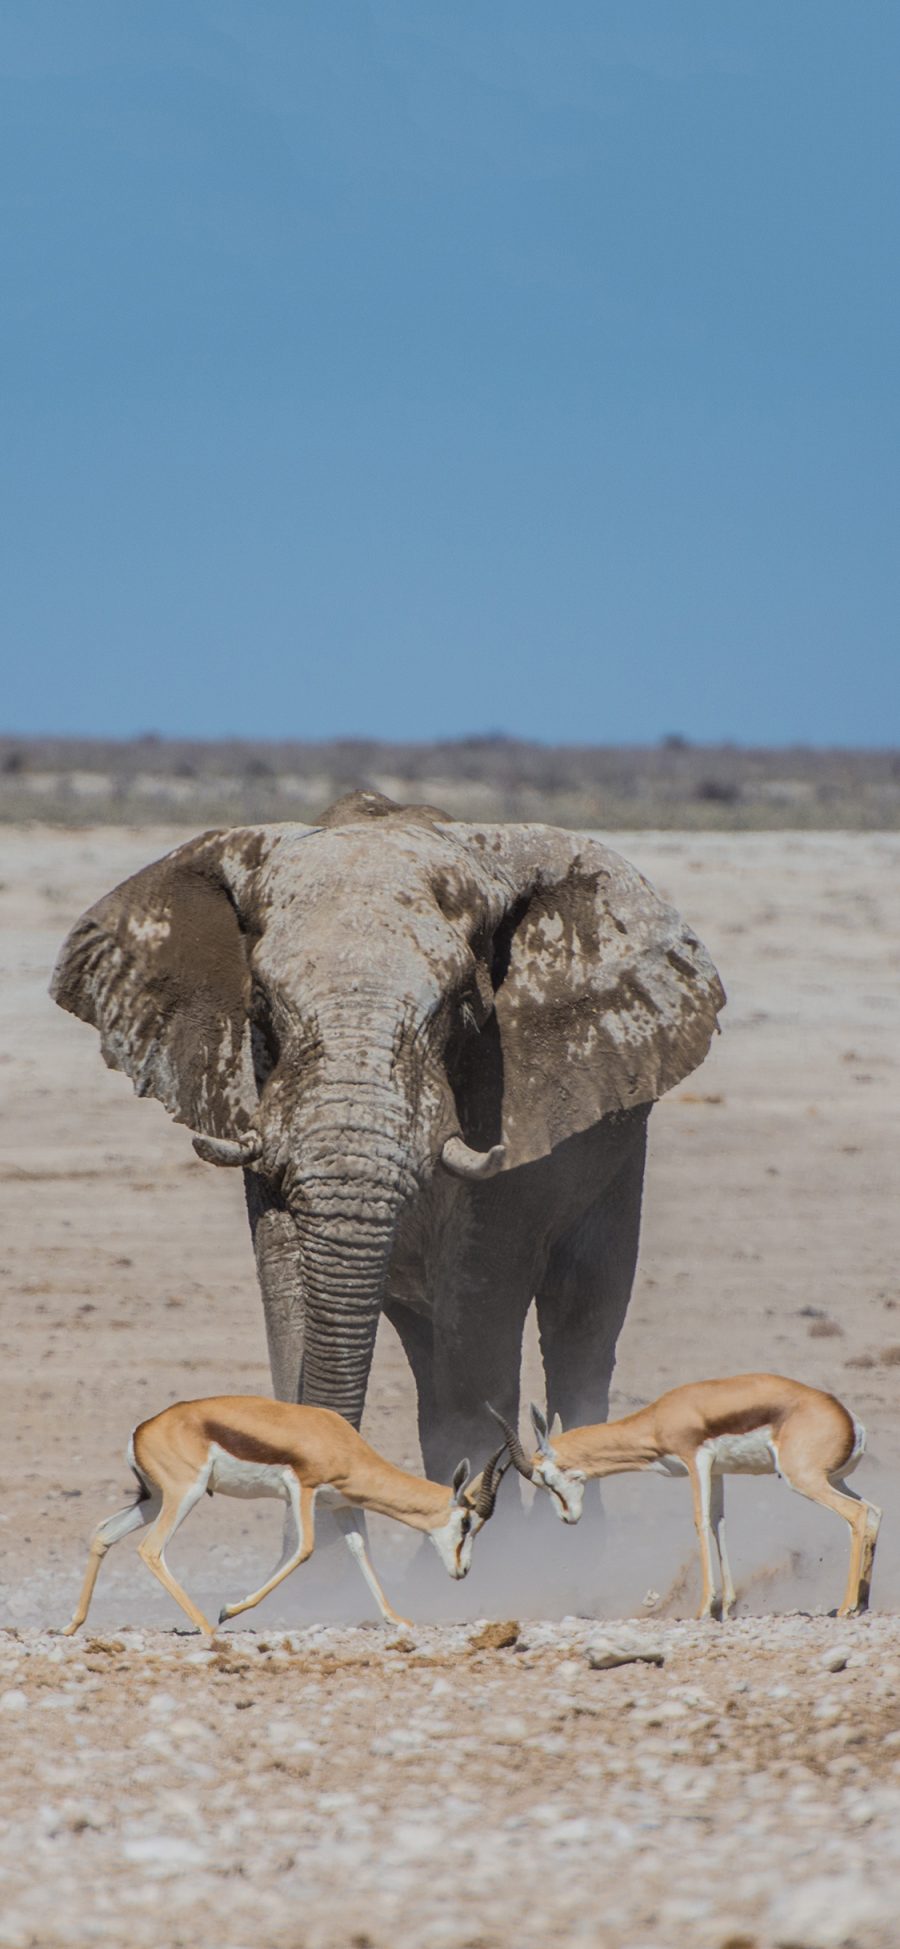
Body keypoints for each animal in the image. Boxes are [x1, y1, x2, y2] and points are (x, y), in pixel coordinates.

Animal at [50, 791, 724, 1473]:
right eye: (259, 1007)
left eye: (463, 1005)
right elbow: (288, 1304)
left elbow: (477, 1346)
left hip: (619, 1165)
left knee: (577, 1337)